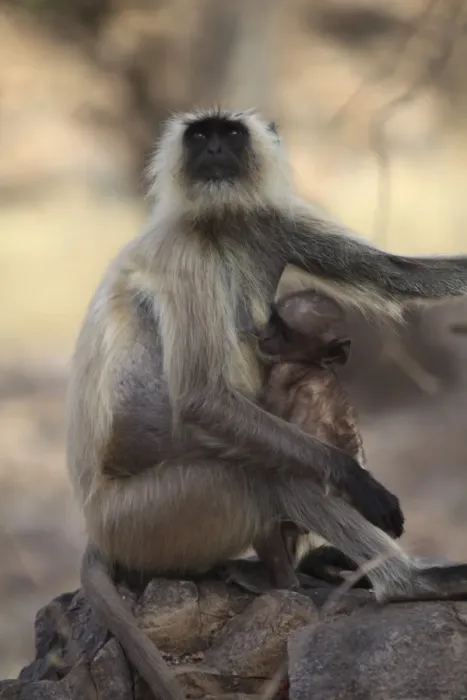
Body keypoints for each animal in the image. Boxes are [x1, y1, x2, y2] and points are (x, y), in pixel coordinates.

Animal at [67, 107, 467, 700]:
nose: (213, 149)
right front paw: (357, 481)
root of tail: (95, 526)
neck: (220, 222)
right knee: (268, 476)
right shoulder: (185, 251)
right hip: (151, 516)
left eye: (229, 134)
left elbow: (399, 275)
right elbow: (202, 398)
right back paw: (401, 581)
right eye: (199, 136)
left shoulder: (272, 221)